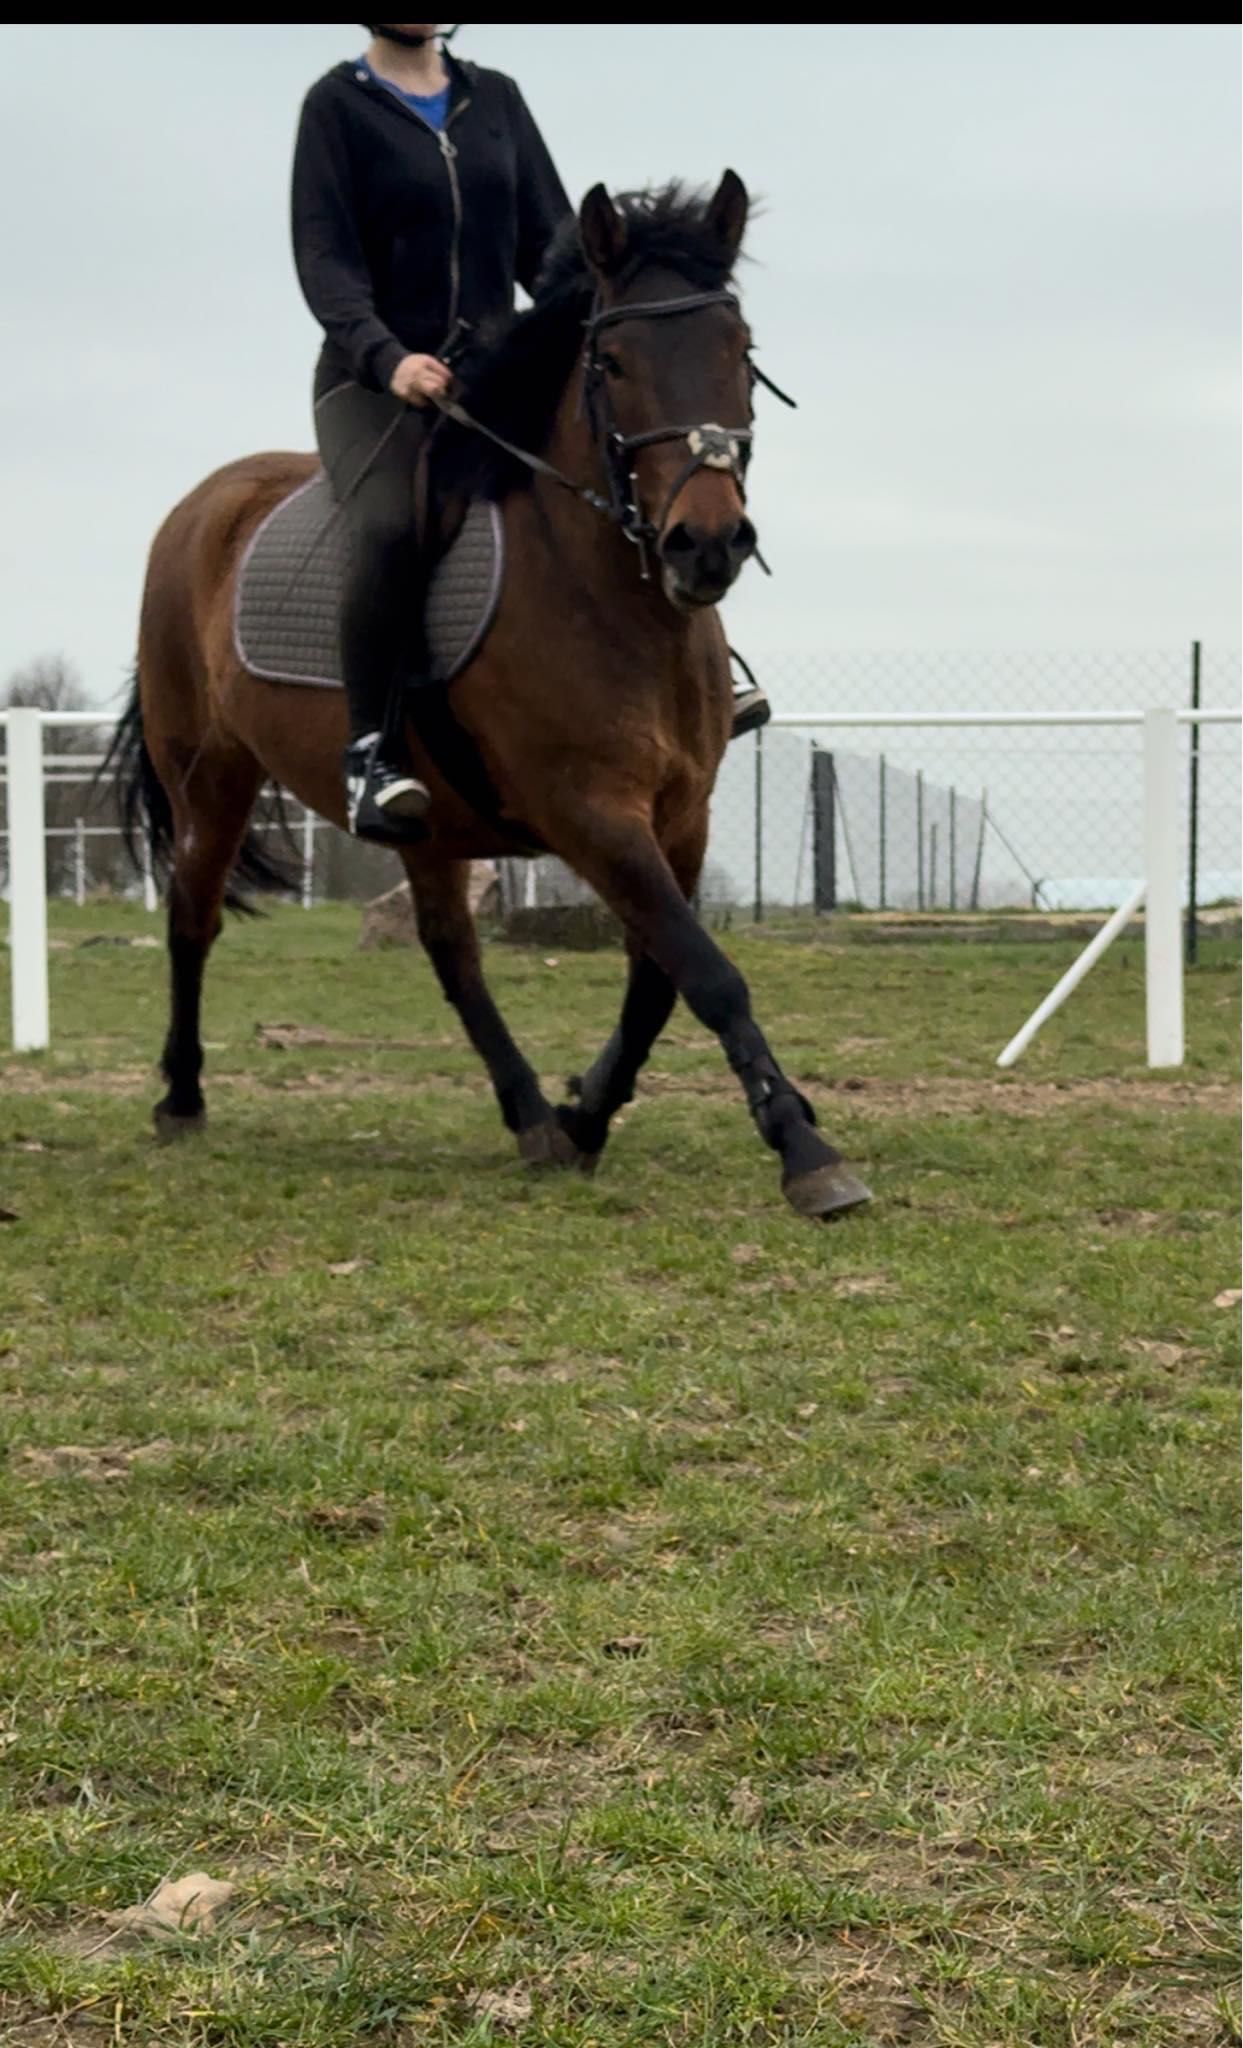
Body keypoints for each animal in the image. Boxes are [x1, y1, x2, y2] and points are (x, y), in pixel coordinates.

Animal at [106, 172, 872, 1212]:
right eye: (612, 362)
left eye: (740, 353)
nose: (706, 544)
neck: (611, 602)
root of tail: (206, 501)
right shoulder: (588, 810)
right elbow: (706, 973)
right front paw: (802, 1148)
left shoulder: (683, 815)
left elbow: (659, 977)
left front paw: (586, 1112)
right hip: (209, 777)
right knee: (193, 918)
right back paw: (181, 1098)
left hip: (427, 827)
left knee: (449, 951)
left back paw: (530, 1115)